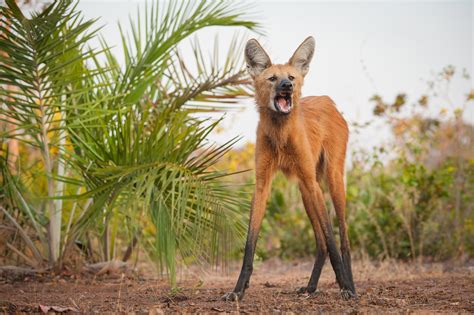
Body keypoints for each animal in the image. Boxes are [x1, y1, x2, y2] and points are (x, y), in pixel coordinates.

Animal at [222, 37, 356, 304]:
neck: (280, 135)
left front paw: (345, 287)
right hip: (305, 191)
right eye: (272, 78)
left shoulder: (313, 182)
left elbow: (333, 239)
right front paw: (238, 289)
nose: (287, 86)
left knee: (342, 240)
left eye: (291, 77)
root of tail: (328, 100)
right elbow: (250, 244)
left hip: (331, 181)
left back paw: (351, 285)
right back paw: (311, 287)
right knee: (321, 243)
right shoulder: (262, 183)